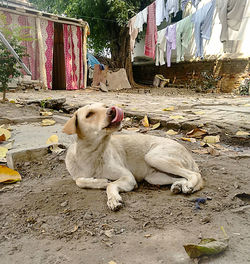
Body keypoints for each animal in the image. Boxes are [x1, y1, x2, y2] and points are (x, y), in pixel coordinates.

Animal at [63, 102, 203, 210]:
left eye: (105, 106)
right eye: (89, 114)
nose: (112, 110)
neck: (93, 155)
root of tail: (188, 152)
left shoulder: (128, 177)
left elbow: (110, 185)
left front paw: (113, 198)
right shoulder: (78, 175)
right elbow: (79, 181)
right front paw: (100, 181)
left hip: (154, 157)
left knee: (195, 175)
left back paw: (189, 186)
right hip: (154, 177)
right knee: (183, 178)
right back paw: (178, 186)